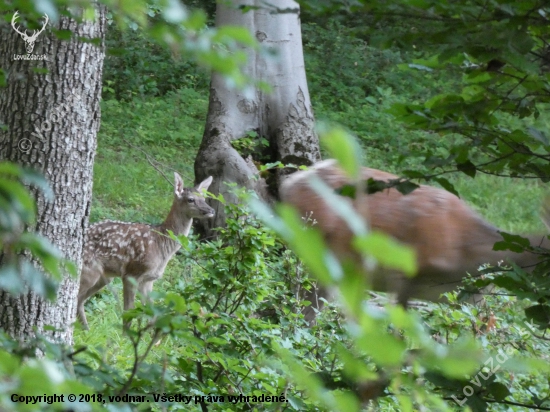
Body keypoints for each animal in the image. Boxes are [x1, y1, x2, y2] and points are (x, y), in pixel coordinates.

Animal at [76, 173, 215, 328]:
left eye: (204, 198)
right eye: (191, 199)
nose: (211, 210)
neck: (161, 244)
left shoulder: (149, 279)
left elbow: (151, 313)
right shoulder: (131, 273)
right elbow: (128, 313)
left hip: (104, 276)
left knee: (79, 300)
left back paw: (86, 330)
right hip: (89, 270)